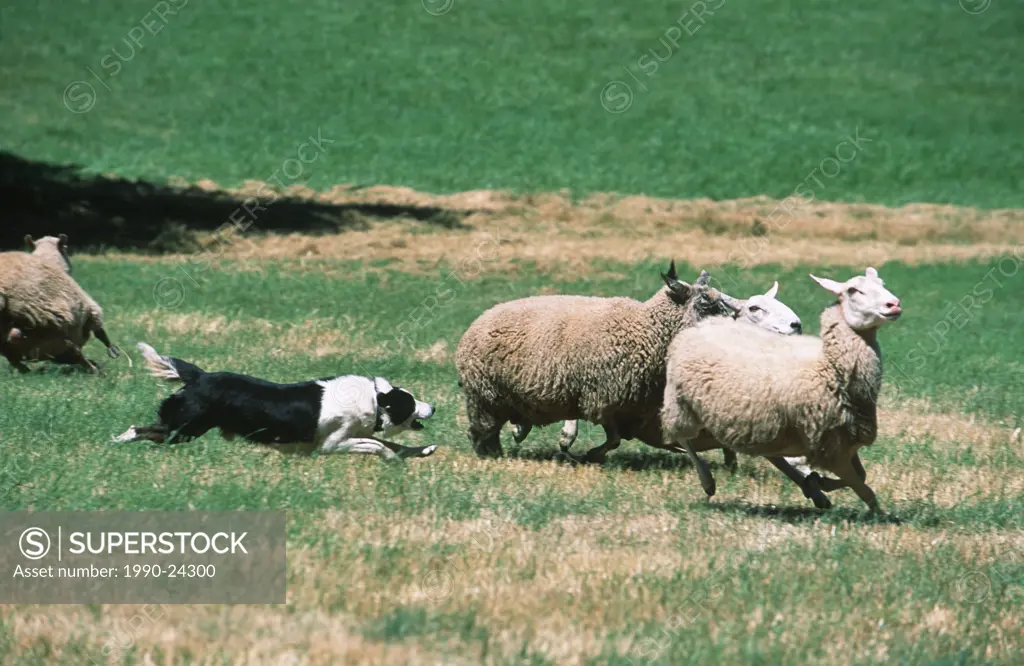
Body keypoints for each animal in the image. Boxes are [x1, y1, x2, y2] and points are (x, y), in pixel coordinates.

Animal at [0, 237, 120, 372]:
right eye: (66, 248)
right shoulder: (91, 310)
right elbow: (99, 330)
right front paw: (111, 350)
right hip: (51, 325)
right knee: (73, 351)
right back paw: (95, 369)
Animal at [115, 342, 436, 456]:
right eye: (411, 402)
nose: (433, 407)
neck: (375, 400)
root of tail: (199, 376)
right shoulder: (332, 445)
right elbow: (378, 446)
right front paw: (393, 459)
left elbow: (392, 443)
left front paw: (424, 450)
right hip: (185, 429)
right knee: (142, 429)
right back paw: (119, 440)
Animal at [454, 262, 737, 459]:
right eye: (705, 303)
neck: (646, 328)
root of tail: (474, 325)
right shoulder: (604, 397)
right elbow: (613, 438)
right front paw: (585, 453)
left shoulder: (622, 403)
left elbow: (617, 438)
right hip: (486, 395)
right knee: (482, 430)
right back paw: (491, 454)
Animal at [659, 264, 901, 508]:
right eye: (852, 290)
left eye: (882, 285)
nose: (894, 304)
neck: (829, 367)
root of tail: (705, 325)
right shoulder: (820, 441)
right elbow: (861, 486)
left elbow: (859, 475)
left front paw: (816, 485)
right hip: (681, 403)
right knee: (681, 436)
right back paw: (707, 481)